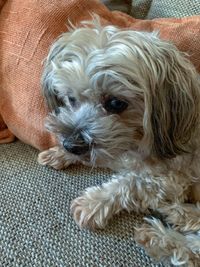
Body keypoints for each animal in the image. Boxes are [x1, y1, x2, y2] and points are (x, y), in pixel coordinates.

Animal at [37, 19, 200, 266]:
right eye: (71, 98)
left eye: (115, 103)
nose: (71, 145)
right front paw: (59, 153)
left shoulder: (170, 179)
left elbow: (128, 184)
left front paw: (93, 202)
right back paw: (182, 214)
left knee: (194, 251)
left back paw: (160, 237)